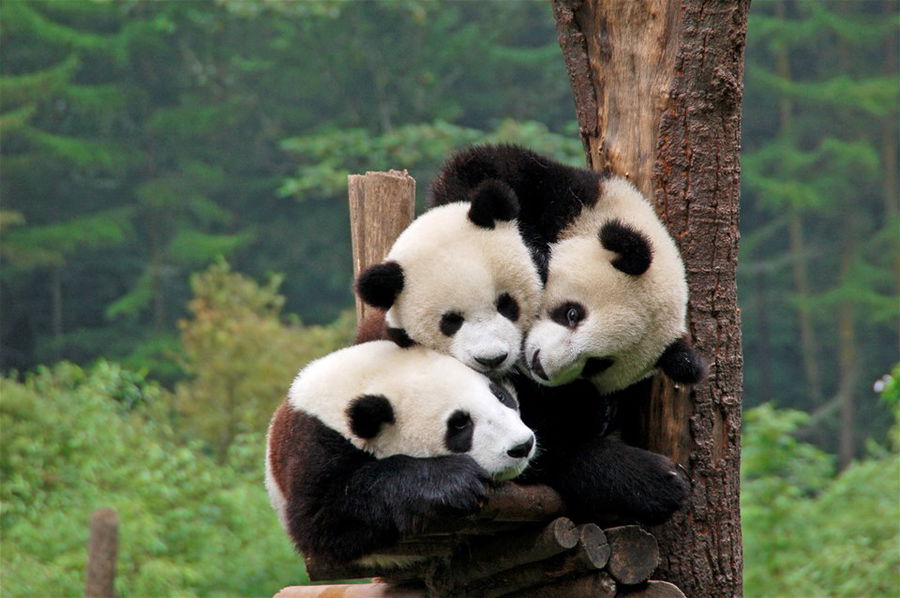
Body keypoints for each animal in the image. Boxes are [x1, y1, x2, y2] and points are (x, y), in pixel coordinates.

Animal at [266, 342, 536, 568]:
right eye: (459, 424)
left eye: (501, 396)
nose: (522, 446)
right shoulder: (316, 445)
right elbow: (322, 517)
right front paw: (458, 481)